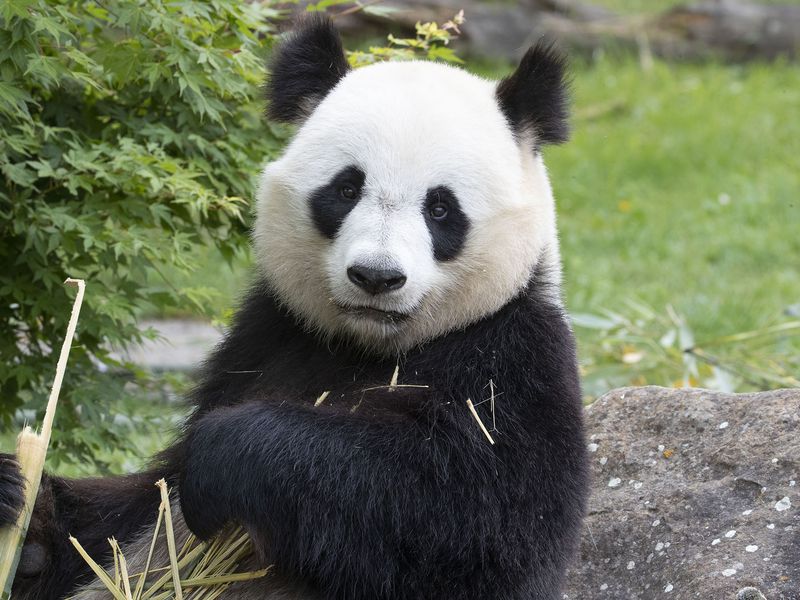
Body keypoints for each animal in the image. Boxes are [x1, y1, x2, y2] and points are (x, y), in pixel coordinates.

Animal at [0, 15, 588, 600]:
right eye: (347, 188)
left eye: (440, 208)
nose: (376, 277)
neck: (368, 346)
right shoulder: (266, 338)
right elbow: (133, 513)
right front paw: (20, 500)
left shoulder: (511, 358)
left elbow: (476, 521)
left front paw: (225, 455)